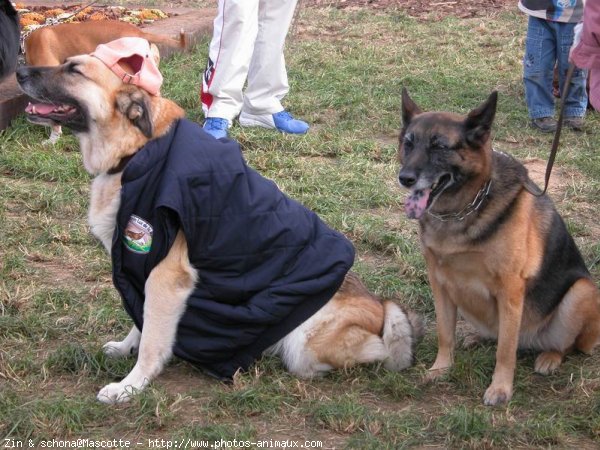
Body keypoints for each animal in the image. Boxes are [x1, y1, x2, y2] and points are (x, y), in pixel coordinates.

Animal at [17, 52, 422, 404]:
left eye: (74, 70)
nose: (18, 71)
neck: (135, 152)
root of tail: (380, 306)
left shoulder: (165, 276)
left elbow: (152, 339)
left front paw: (131, 386)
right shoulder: (144, 268)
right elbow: (141, 318)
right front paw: (126, 348)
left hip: (306, 345)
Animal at [398, 89, 600, 406]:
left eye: (439, 147)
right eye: (408, 143)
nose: (405, 178)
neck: (463, 209)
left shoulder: (510, 290)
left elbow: (506, 349)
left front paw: (500, 388)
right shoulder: (440, 284)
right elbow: (444, 332)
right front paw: (441, 369)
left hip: (581, 292)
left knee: (565, 345)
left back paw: (549, 357)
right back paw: (478, 337)